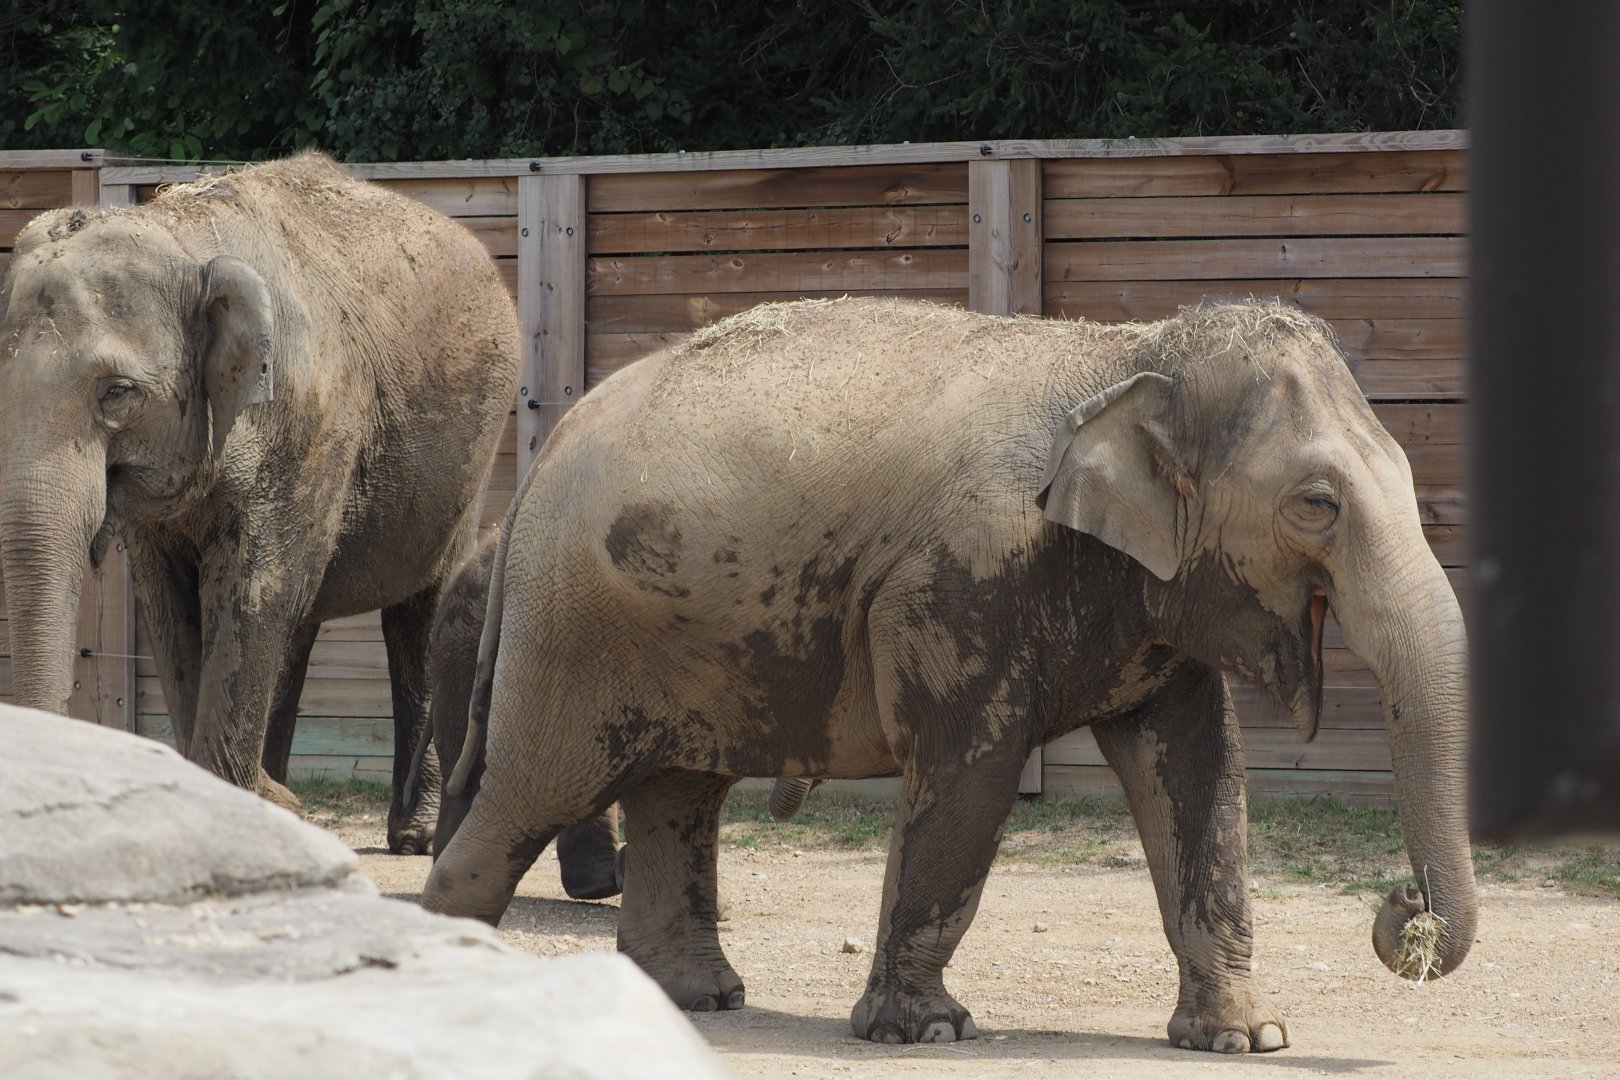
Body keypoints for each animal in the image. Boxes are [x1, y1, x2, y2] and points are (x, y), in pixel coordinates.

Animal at [0, 153, 519, 853]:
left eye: (116, 392)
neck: (184, 238)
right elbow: (170, 608)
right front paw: (250, 811)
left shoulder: (309, 421)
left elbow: (251, 593)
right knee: (298, 623)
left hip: (470, 453)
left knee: (416, 606)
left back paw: (411, 837)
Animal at [419, 296, 1476, 1050]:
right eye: (1316, 504)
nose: (1403, 908)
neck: (1128, 355)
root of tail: (540, 462)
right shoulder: (958, 584)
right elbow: (972, 775)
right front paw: (925, 1029)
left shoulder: (1150, 604)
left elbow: (1201, 776)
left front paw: (1245, 1037)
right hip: (575, 637)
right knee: (533, 792)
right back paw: (451, 966)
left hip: (678, 626)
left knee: (681, 794)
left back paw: (698, 1001)